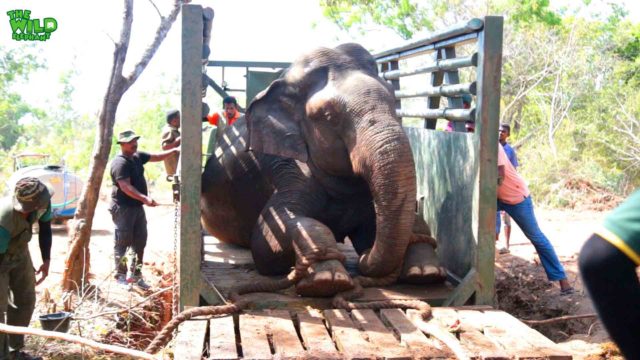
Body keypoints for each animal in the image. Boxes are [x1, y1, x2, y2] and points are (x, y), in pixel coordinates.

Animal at [200, 43, 444, 296]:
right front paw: (328, 280)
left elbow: (380, 227)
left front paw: (424, 272)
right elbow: (266, 239)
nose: (364, 259)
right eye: (329, 116)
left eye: (394, 104)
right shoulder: (283, 164)